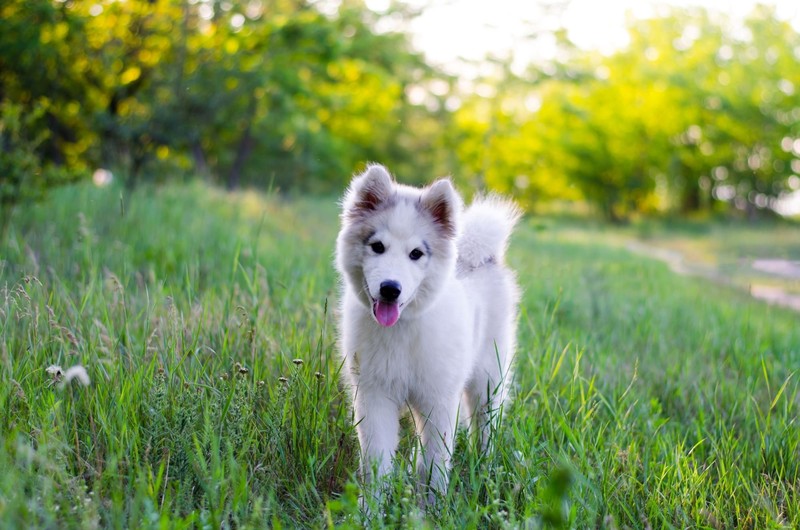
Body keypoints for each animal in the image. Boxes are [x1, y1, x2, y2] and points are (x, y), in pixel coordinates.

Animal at [336, 163, 520, 492]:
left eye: (416, 254)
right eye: (377, 247)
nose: (390, 289)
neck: (401, 329)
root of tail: (481, 256)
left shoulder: (439, 400)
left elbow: (434, 464)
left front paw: (431, 503)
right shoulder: (374, 396)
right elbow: (377, 462)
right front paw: (372, 504)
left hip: (489, 380)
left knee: (486, 426)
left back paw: (485, 469)